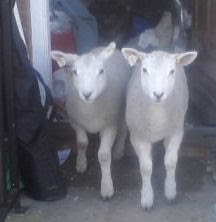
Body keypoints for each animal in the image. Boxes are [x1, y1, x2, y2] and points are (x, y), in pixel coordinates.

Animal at [51, 42, 130, 199]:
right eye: (75, 72)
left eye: (101, 71)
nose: (87, 94)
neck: (89, 109)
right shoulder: (75, 122)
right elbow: (82, 143)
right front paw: (81, 164)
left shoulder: (110, 126)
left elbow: (104, 155)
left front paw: (106, 188)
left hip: (123, 107)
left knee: (123, 128)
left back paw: (118, 151)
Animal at [121, 48, 197, 210]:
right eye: (144, 70)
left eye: (172, 71)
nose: (158, 94)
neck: (157, 117)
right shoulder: (138, 136)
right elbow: (146, 167)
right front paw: (147, 198)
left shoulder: (176, 132)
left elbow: (170, 162)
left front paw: (170, 191)